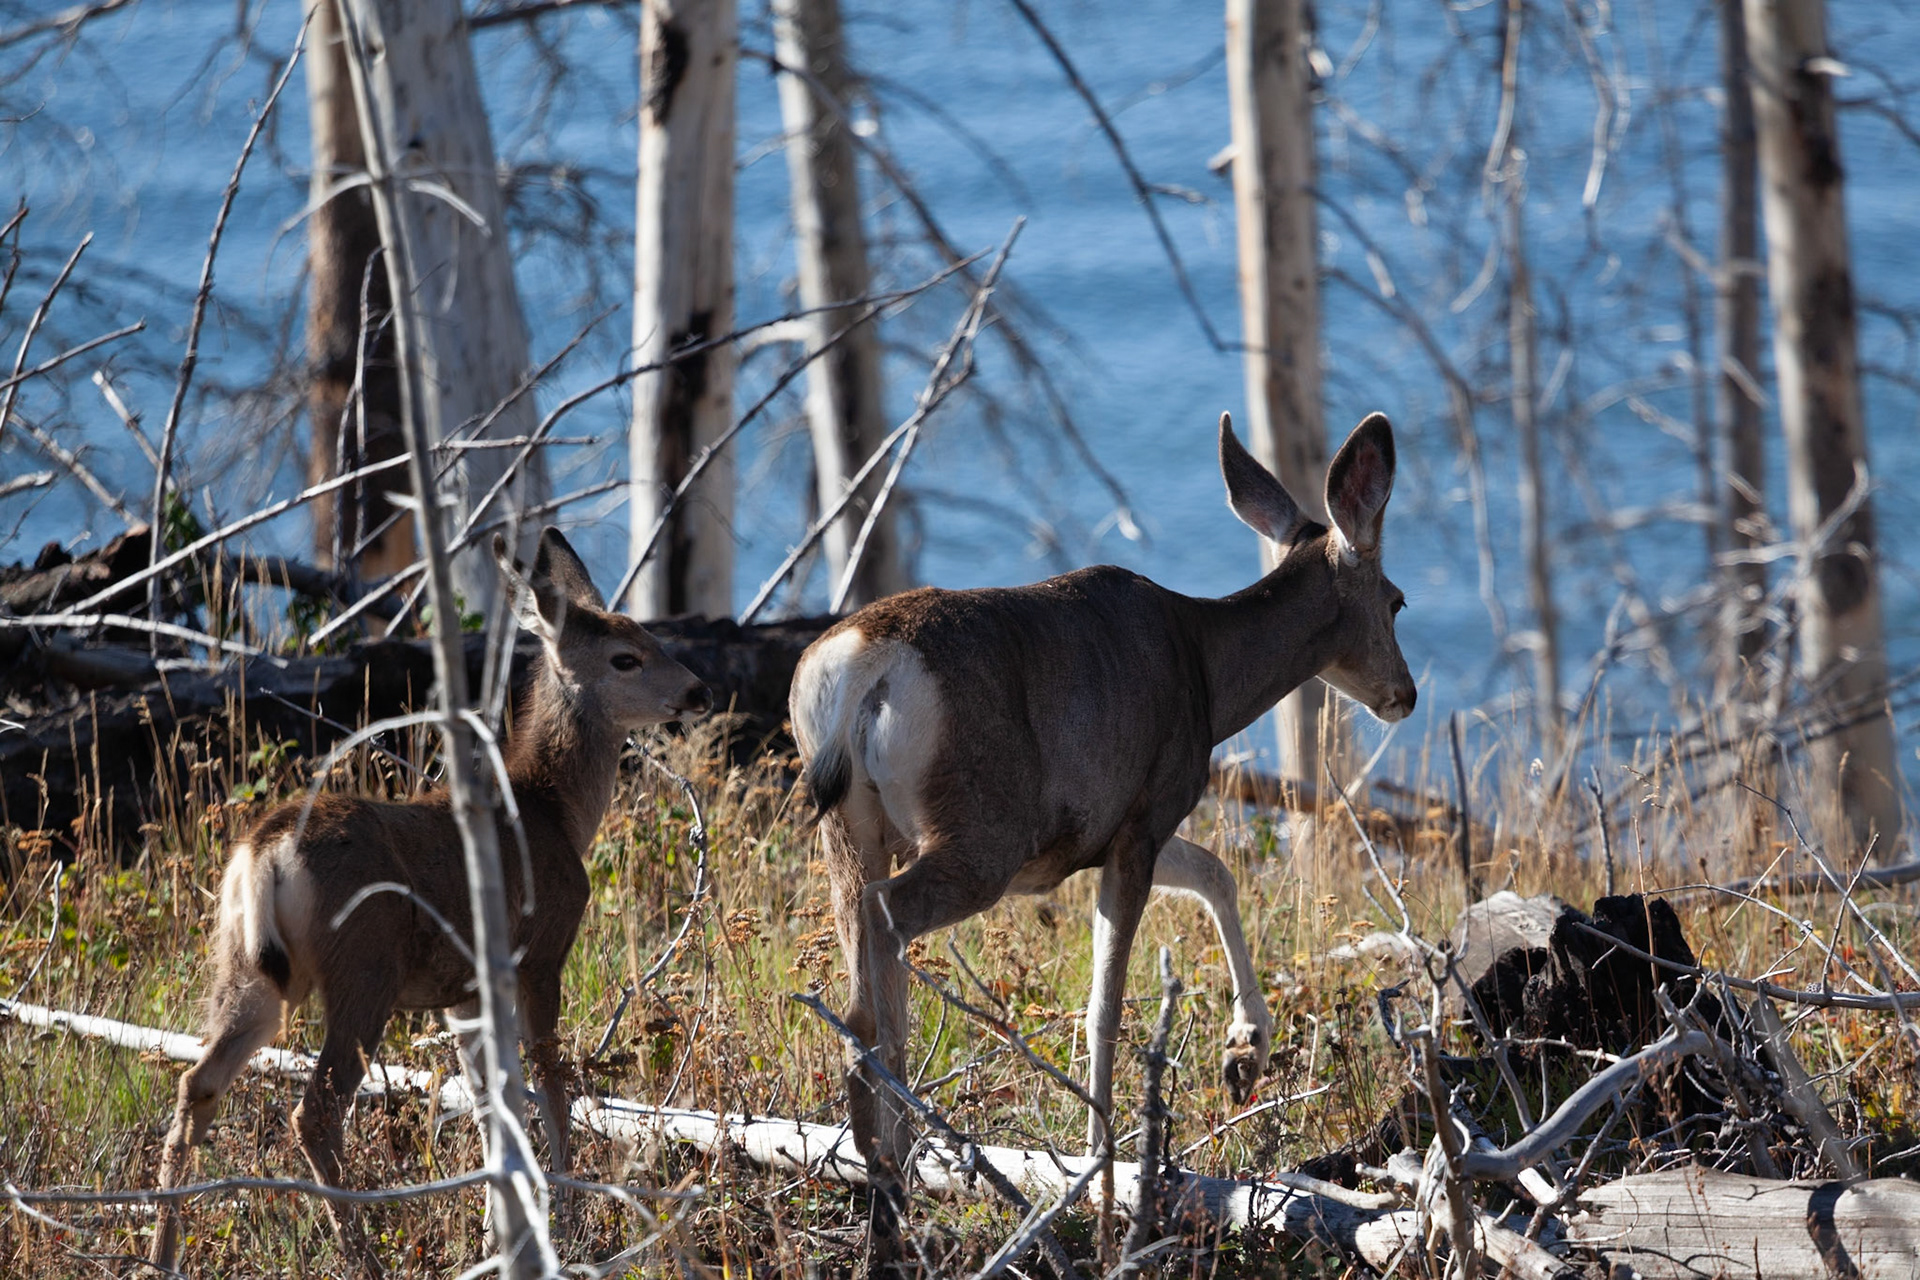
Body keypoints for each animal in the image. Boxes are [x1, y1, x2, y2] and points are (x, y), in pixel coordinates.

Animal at [150, 528, 711, 1277]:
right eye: (628, 656)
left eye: (650, 635)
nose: (698, 688)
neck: (553, 810)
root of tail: (265, 851)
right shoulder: (541, 954)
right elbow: (552, 1087)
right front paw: (566, 1218)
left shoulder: (463, 993)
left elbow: (491, 1103)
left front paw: (501, 1233)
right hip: (365, 965)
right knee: (316, 1109)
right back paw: (362, 1255)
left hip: (246, 969)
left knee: (198, 1084)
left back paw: (160, 1253)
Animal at [789, 411, 1415, 1262]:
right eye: (1397, 600)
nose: (1405, 695)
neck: (1209, 673)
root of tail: (860, 673)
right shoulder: (1144, 813)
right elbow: (1104, 1008)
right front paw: (1106, 1180)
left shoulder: (1105, 834)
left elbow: (1215, 873)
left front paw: (1244, 1049)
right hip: (981, 830)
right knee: (888, 927)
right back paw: (894, 1185)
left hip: (851, 829)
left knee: (861, 972)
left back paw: (890, 1175)